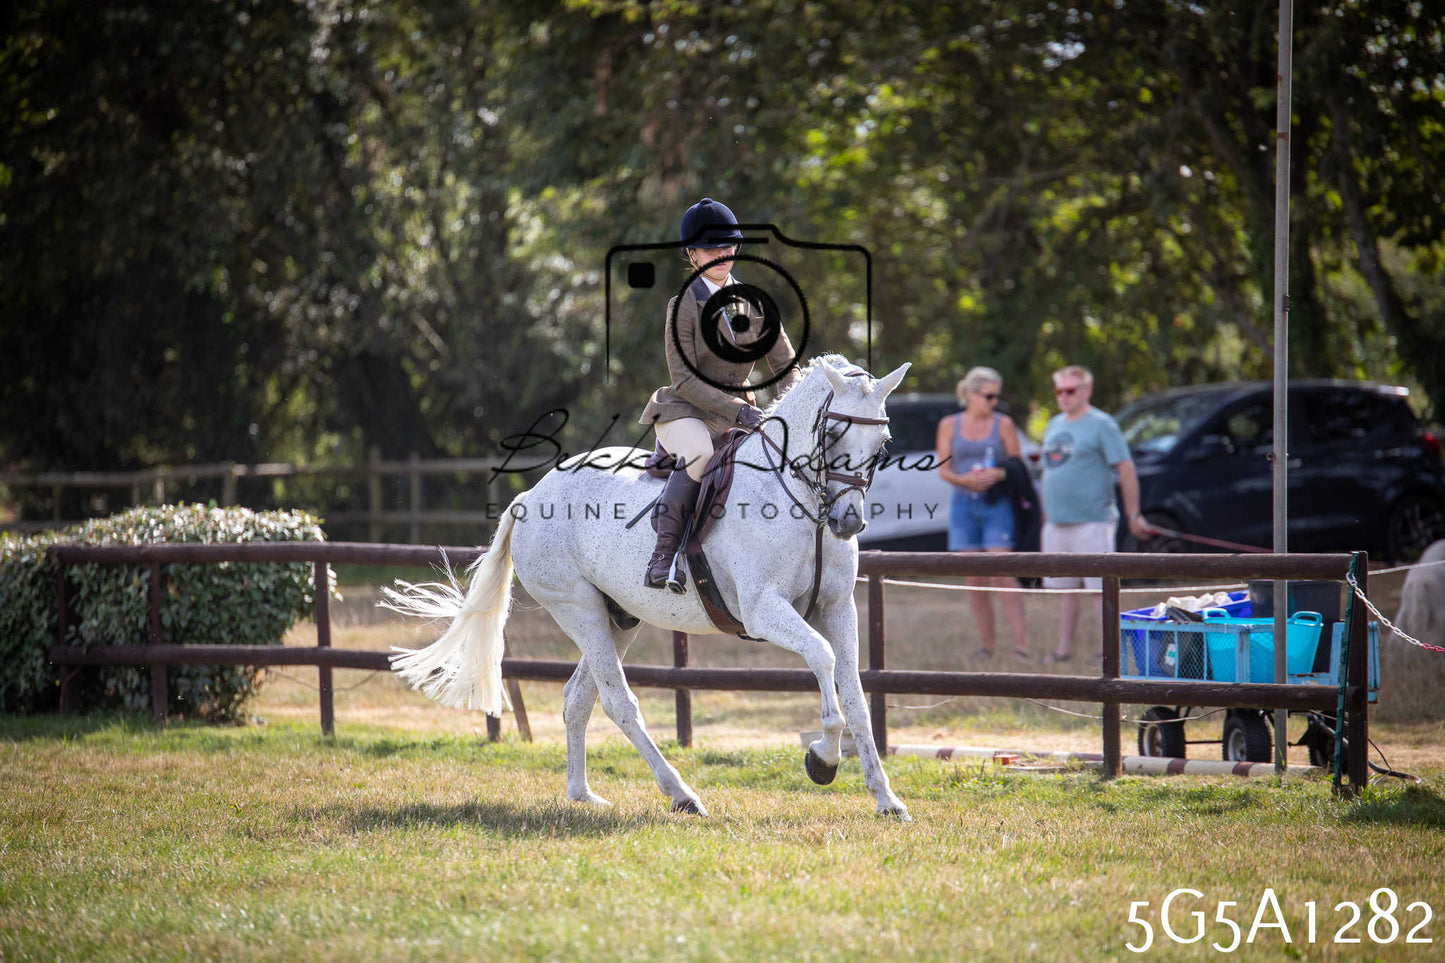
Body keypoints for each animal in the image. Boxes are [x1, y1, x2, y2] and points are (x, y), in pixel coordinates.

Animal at [383, 355, 913, 819]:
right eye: (833, 432)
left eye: (884, 442)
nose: (849, 521)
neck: (800, 502)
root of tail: (530, 495)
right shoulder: (763, 611)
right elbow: (823, 658)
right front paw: (822, 759)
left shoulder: (838, 609)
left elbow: (856, 697)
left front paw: (886, 800)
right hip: (578, 609)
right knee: (619, 702)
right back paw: (682, 795)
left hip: (618, 617)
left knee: (578, 698)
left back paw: (583, 794)